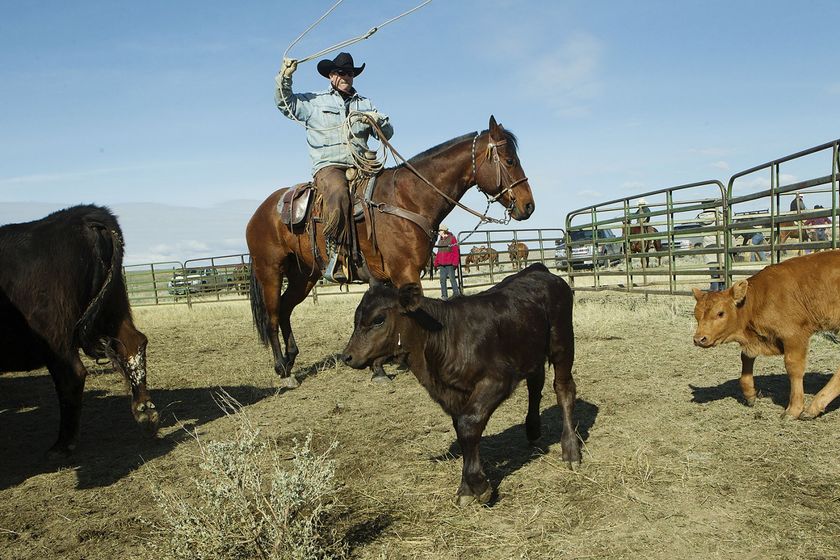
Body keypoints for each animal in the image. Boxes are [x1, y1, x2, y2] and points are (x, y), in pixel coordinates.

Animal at [0, 206, 159, 456]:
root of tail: (84, 217)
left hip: (54, 334)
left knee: (71, 375)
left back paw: (62, 444)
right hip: (114, 306)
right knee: (133, 344)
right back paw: (145, 411)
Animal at [340, 264, 576, 506]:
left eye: (378, 319)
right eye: (356, 319)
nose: (347, 357)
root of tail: (538, 270)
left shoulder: (498, 379)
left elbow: (468, 424)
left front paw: (478, 485)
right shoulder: (453, 393)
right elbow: (463, 432)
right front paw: (466, 488)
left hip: (562, 342)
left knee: (563, 389)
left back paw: (571, 450)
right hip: (531, 351)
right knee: (535, 385)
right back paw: (533, 430)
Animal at [692, 250, 840, 420]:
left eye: (720, 313)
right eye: (696, 314)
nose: (699, 339)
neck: (760, 299)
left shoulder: (794, 336)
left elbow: (793, 368)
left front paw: (794, 409)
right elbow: (746, 357)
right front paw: (749, 394)